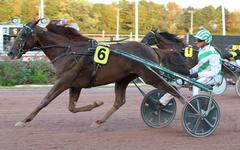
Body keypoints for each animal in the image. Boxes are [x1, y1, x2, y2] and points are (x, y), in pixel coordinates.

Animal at [7, 19, 188, 127]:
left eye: (22, 34)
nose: (10, 53)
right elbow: (72, 108)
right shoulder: (75, 85)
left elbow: (45, 100)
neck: (69, 50)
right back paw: (99, 121)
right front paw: (96, 103)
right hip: (123, 79)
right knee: (119, 101)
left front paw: (23, 121)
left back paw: (190, 109)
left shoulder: (64, 81)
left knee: (173, 90)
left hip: (150, 76)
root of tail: (153, 49)